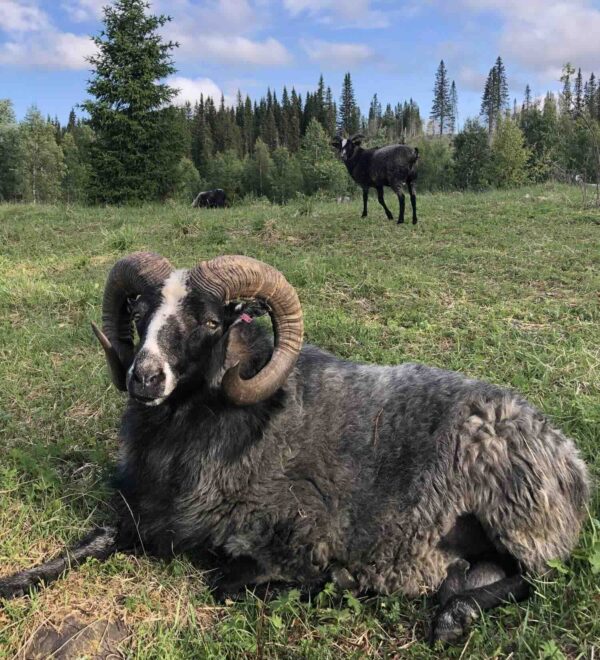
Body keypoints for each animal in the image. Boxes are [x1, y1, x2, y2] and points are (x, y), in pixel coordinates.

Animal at [0, 254, 588, 644]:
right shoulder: (144, 513)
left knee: (535, 578)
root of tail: (570, 459)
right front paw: (17, 581)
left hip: (515, 515)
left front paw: (334, 580)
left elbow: (225, 581)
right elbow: (94, 540)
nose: (143, 378)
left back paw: (451, 616)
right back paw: (455, 597)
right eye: (141, 316)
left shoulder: (300, 535)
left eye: (210, 321)